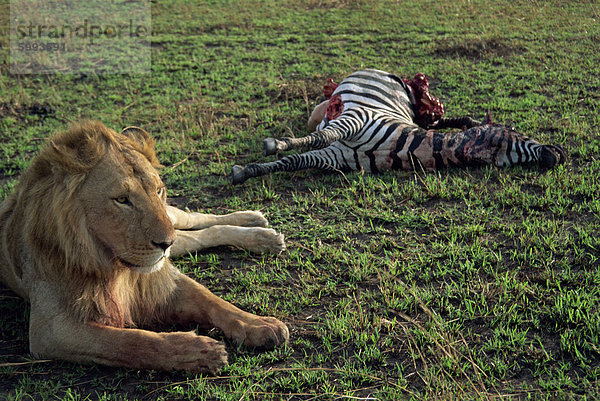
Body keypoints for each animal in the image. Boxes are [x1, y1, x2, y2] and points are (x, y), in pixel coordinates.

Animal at [0, 119, 290, 372]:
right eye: (122, 199)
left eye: (158, 190)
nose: (166, 243)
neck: (109, 263)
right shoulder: (50, 330)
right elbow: (128, 341)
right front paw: (195, 352)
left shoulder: (162, 279)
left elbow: (214, 301)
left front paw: (260, 324)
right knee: (200, 235)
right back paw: (261, 232)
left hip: (172, 218)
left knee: (199, 219)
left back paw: (259, 227)